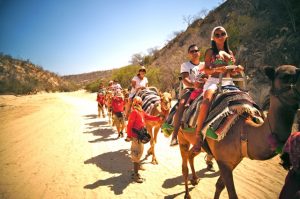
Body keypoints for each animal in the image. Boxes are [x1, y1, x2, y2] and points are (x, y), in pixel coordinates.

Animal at [179, 65, 298, 199]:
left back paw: (194, 179)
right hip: (181, 137)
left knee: (191, 154)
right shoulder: (223, 161)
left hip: (199, 146)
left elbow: (220, 185)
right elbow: (232, 194)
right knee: (184, 167)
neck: (244, 130)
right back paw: (187, 194)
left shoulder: (234, 161)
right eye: (285, 76)